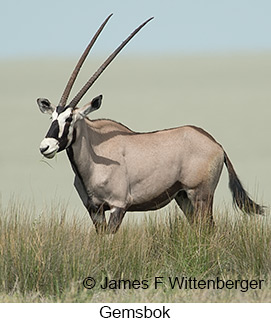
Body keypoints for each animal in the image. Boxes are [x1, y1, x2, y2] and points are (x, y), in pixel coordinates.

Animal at [37, 13, 264, 234]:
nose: (45, 147)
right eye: (52, 118)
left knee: (209, 229)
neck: (94, 153)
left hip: (201, 195)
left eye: (69, 119)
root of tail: (216, 145)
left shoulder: (119, 206)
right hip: (183, 197)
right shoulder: (95, 210)